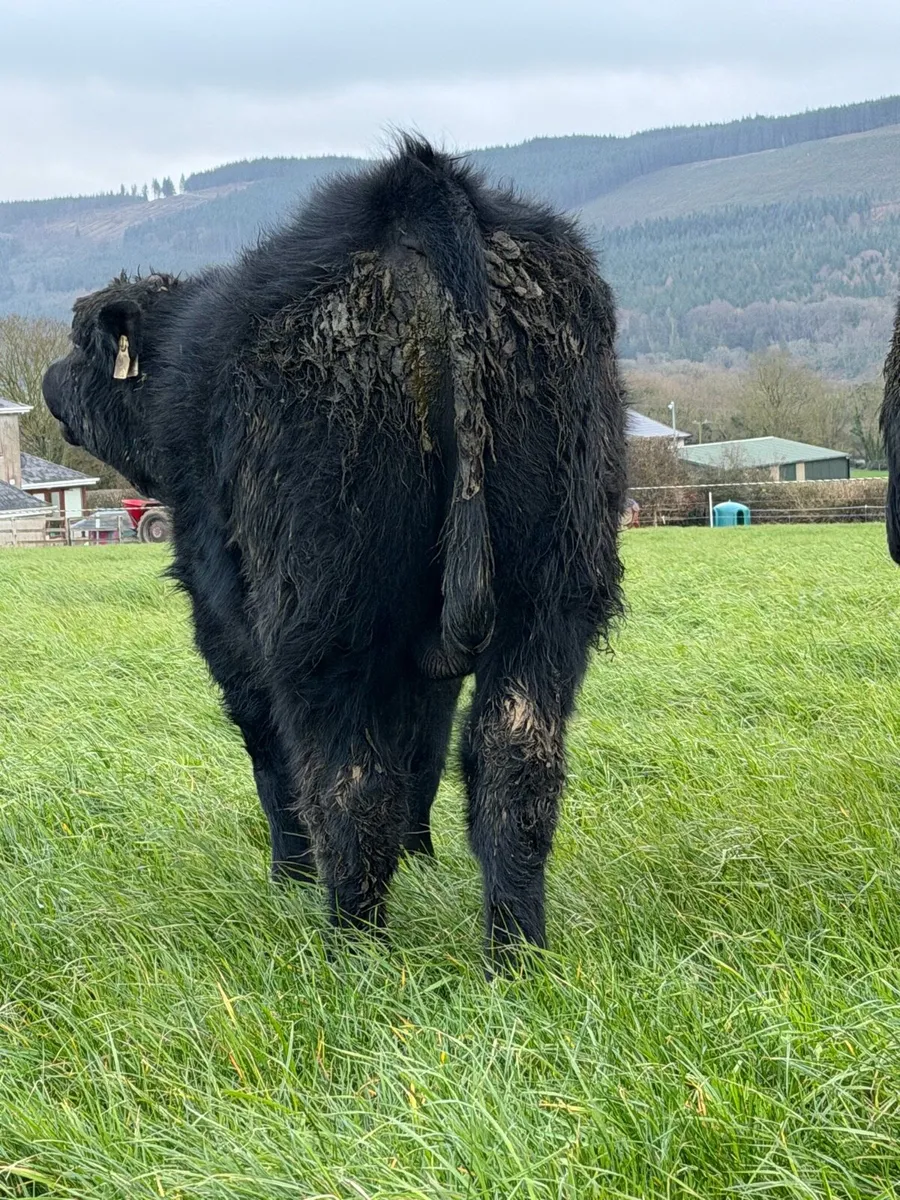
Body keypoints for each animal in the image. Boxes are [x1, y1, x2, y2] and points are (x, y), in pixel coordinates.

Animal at [42, 137, 627, 969]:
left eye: (78, 344)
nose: (50, 377)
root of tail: (417, 186)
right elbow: (425, 746)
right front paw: (423, 860)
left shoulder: (223, 619)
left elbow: (271, 753)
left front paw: (286, 876)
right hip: (553, 591)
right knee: (513, 766)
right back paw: (514, 958)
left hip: (322, 608)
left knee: (350, 781)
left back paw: (352, 952)